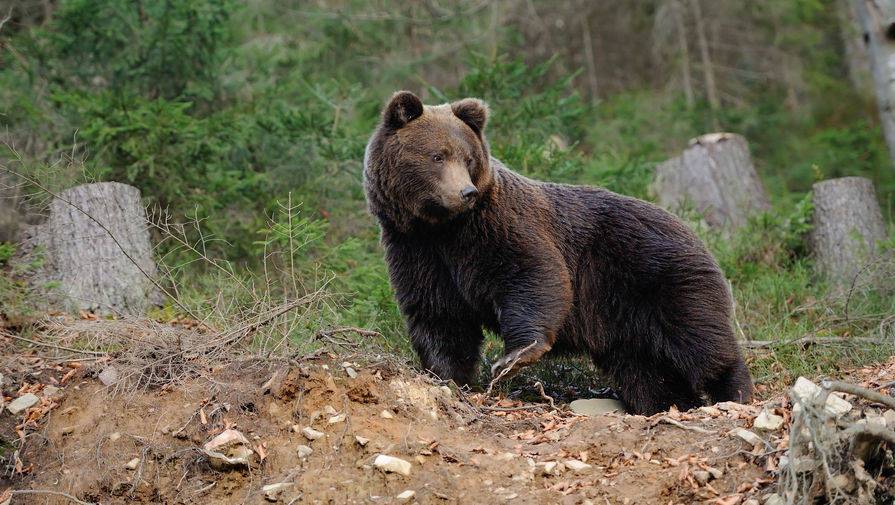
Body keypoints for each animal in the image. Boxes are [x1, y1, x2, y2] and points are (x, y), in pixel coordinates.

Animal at [364, 90, 756, 414]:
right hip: (624, 318)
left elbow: (533, 274)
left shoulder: (496, 228)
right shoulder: (417, 250)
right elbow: (438, 313)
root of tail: (696, 232)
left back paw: (732, 391)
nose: (466, 193)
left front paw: (513, 358)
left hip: (661, 277)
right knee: (645, 370)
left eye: (468, 157)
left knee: (698, 340)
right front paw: (446, 375)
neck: (442, 227)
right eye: (437, 155)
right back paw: (667, 403)